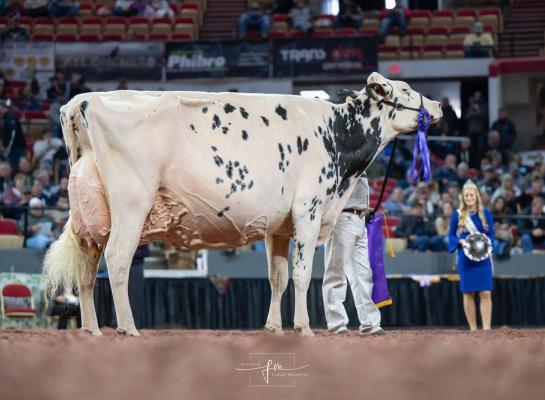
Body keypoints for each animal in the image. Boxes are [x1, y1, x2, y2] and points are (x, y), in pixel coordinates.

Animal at [42, 72, 442, 338]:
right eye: (406, 90)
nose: (438, 105)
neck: (336, 134)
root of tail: (82, 100)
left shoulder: (279, 225)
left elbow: (278, 277)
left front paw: (274, 328)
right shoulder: (309, 211)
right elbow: (301, 274)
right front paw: (304, 328)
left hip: (92, 215)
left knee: (87, 269)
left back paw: (92, 331)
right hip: (131, 205)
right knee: (118, 261)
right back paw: (128, 328)